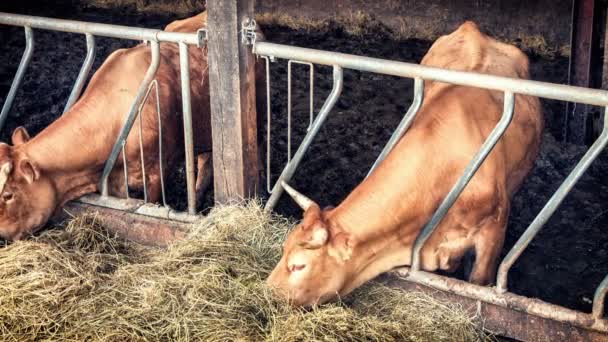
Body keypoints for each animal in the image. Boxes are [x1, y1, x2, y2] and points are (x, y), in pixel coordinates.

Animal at [266, 22, 540, 308]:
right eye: (283, 250)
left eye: (298, 266)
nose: (265, 292)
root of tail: (472, 28)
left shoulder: (493, 232)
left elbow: (478, 282)